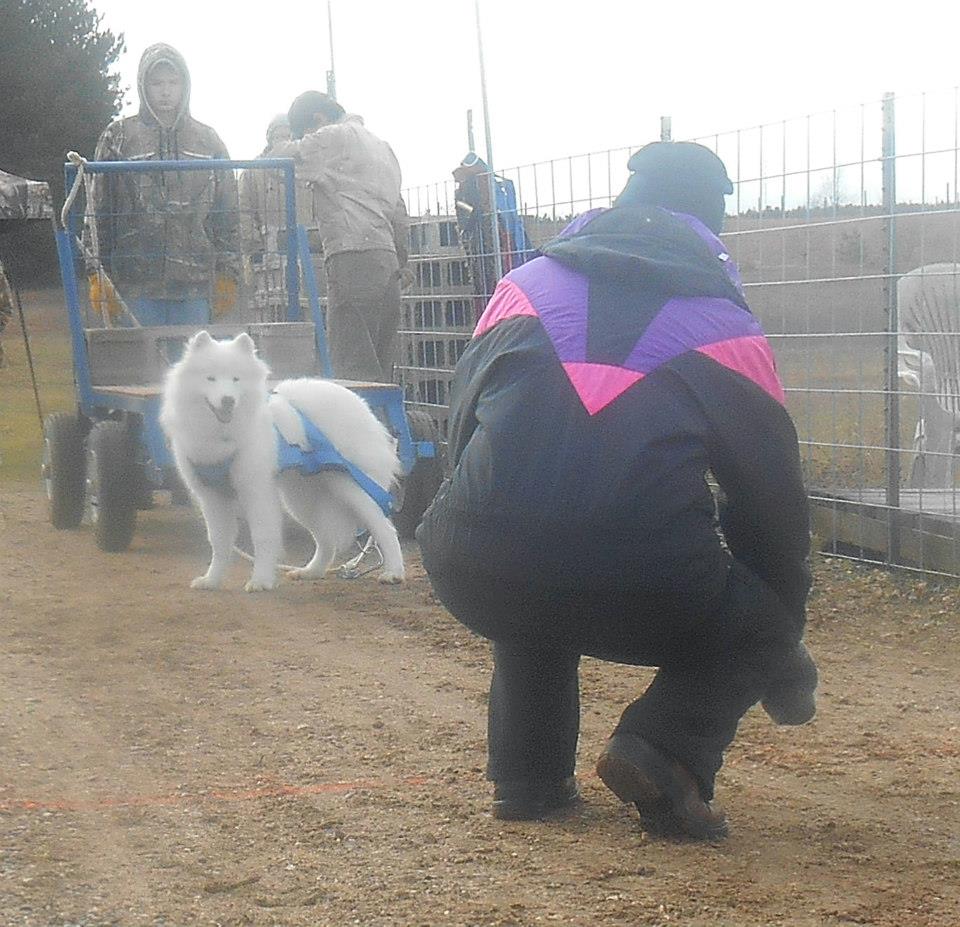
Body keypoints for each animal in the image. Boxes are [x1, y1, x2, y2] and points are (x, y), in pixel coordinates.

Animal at [160, 334, 404, 592]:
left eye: (236, 379)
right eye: (210, 378)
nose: (227, 400)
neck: (222, 436)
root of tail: (360, 403)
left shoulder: (257, 492)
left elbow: (262, 537)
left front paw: (261, 581)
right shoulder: (212, 498)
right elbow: (218, 543)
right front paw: (211, 580)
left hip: (351, 487)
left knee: (385, 529)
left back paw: (393, 573)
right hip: (302, 499)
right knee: (325, 540)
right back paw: (311, 571)